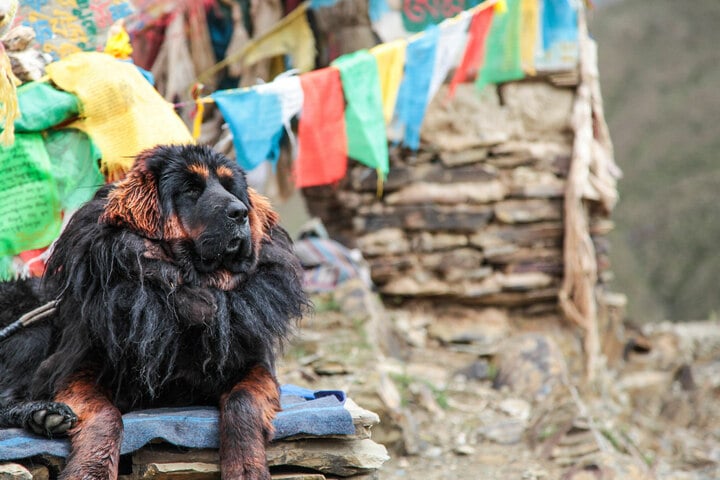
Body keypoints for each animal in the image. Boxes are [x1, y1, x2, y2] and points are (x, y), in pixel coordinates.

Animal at [0, 144, 306, 478]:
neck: (189, 291)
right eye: (190, 189)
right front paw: (91, 468)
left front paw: (247, 468)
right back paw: (43, 413)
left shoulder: (254, 364)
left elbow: (243, 402)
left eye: (229, 187)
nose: (241, 212)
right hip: (34, 331)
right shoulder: (77, 369)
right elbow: (105, 415)